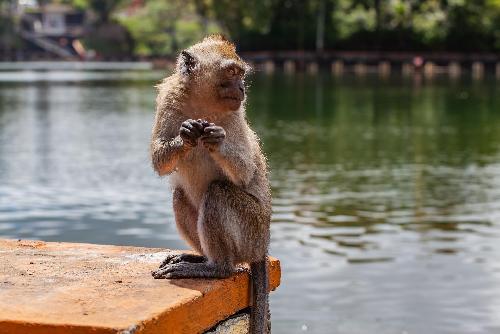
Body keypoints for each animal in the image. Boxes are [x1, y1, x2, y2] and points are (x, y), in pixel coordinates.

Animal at [149, 34, 272, 334]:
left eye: (240, 74)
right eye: (231, 73)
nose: (241, 88)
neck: (201, 100)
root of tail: (262, 248)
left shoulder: (235, 115)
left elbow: (245, 173)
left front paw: (216, 139)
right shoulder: (169, 99)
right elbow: (159, 160)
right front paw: (186, 136)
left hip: (252, 231)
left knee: (218, 192)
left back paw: (218, 268)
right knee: (180, 196)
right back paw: (201, 259)